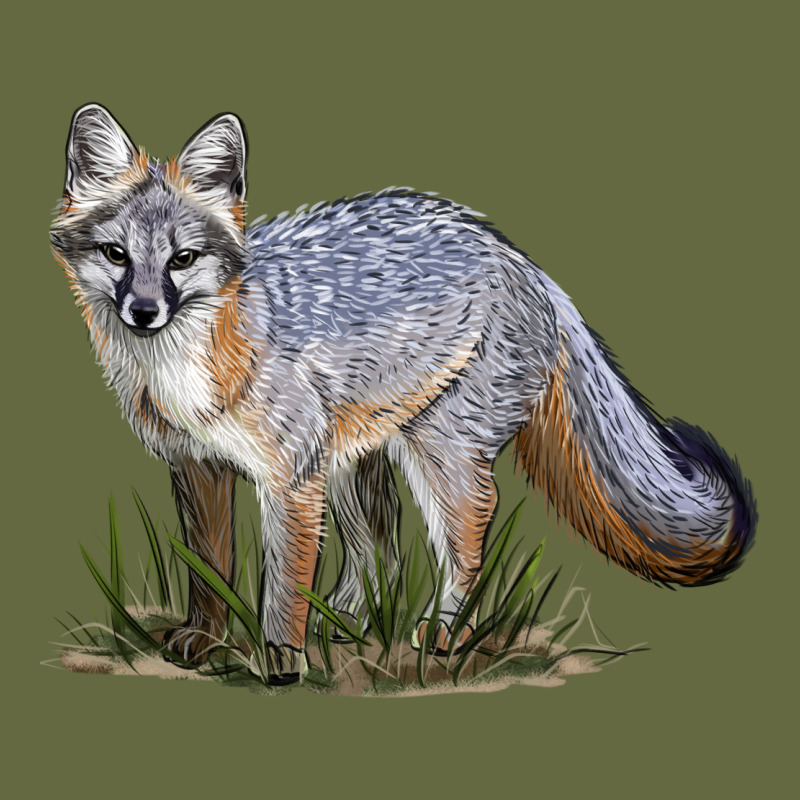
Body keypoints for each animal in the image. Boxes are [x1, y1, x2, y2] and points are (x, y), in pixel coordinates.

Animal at [51, 104, 756, 685]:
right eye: (116, 255)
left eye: (182, 259)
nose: (144, 311)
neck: (189, 371)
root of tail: (515, 255)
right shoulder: (199, 466)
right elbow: (210, 568)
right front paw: (205, 639)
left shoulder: (289, 478)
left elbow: (283, 585)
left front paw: (280, 658)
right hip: (351, 461)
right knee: (378, 553)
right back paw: (346, 620)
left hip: (436, 453)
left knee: (467, 536)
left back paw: (442, 631)